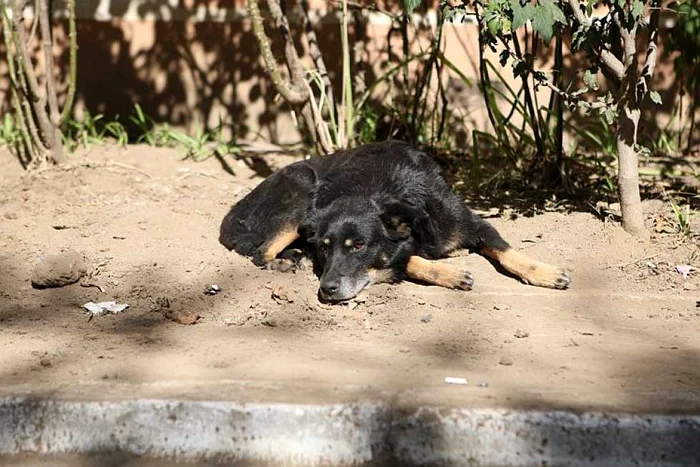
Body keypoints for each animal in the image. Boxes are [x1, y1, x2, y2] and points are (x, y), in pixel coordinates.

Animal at [221, 142, 572, 304]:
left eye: (358, 245)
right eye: (323, 249)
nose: (326, 290)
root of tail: (234, 214)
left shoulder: (473, 223)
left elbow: (506, 251)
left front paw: (544, 273)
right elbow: (406, 259)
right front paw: (448, 273)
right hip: (302, 188)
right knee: (260, 252)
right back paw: (284, 261)